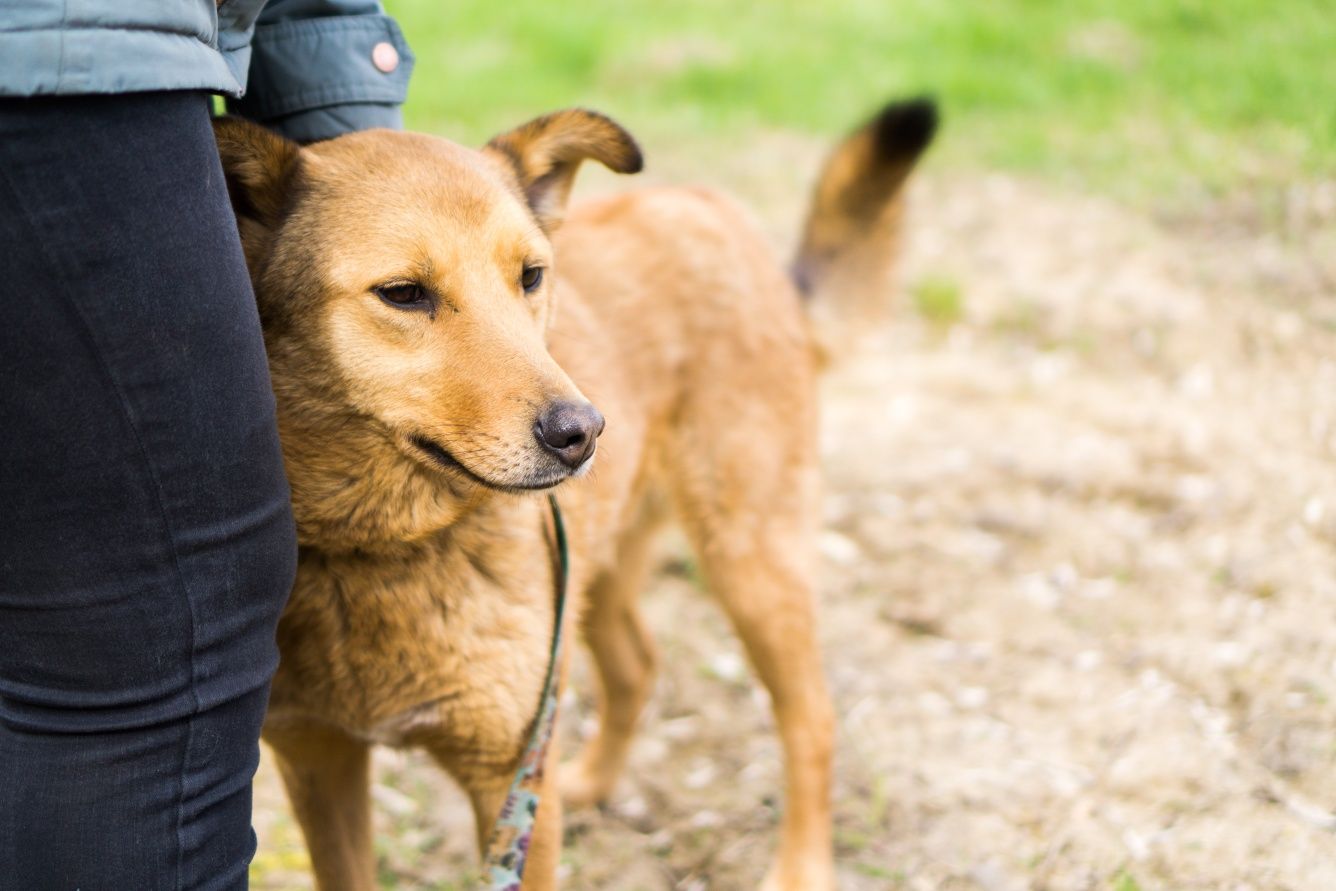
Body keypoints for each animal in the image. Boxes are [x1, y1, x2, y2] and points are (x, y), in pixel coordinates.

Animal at [213, 99, 935, 891]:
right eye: (403, 293)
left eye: (531, 277)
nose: (583, 432)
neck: (379, 547)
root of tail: (712, 209)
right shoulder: (319, 760)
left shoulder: (504, 777)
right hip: (596, 570)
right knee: (636, 666)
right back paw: (588, 782)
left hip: (751, 559)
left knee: (811, 720)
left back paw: (800, 865)